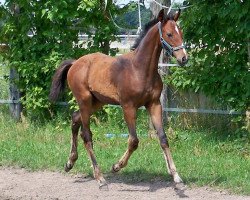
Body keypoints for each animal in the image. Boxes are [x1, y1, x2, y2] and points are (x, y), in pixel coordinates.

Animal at [49, 9, 188, 188]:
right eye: (169, 34)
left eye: (181, 32)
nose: (184, 58)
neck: (139, 69)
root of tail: (75, 63)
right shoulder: (128, 107)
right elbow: (134, 140)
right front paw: (116, 166)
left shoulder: (154, 104)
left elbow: (163, 138)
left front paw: (176, 176)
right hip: (84, 101)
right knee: (86, 135)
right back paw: (100, 177)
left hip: (97, 102)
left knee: (75, 119)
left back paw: (70, 162)